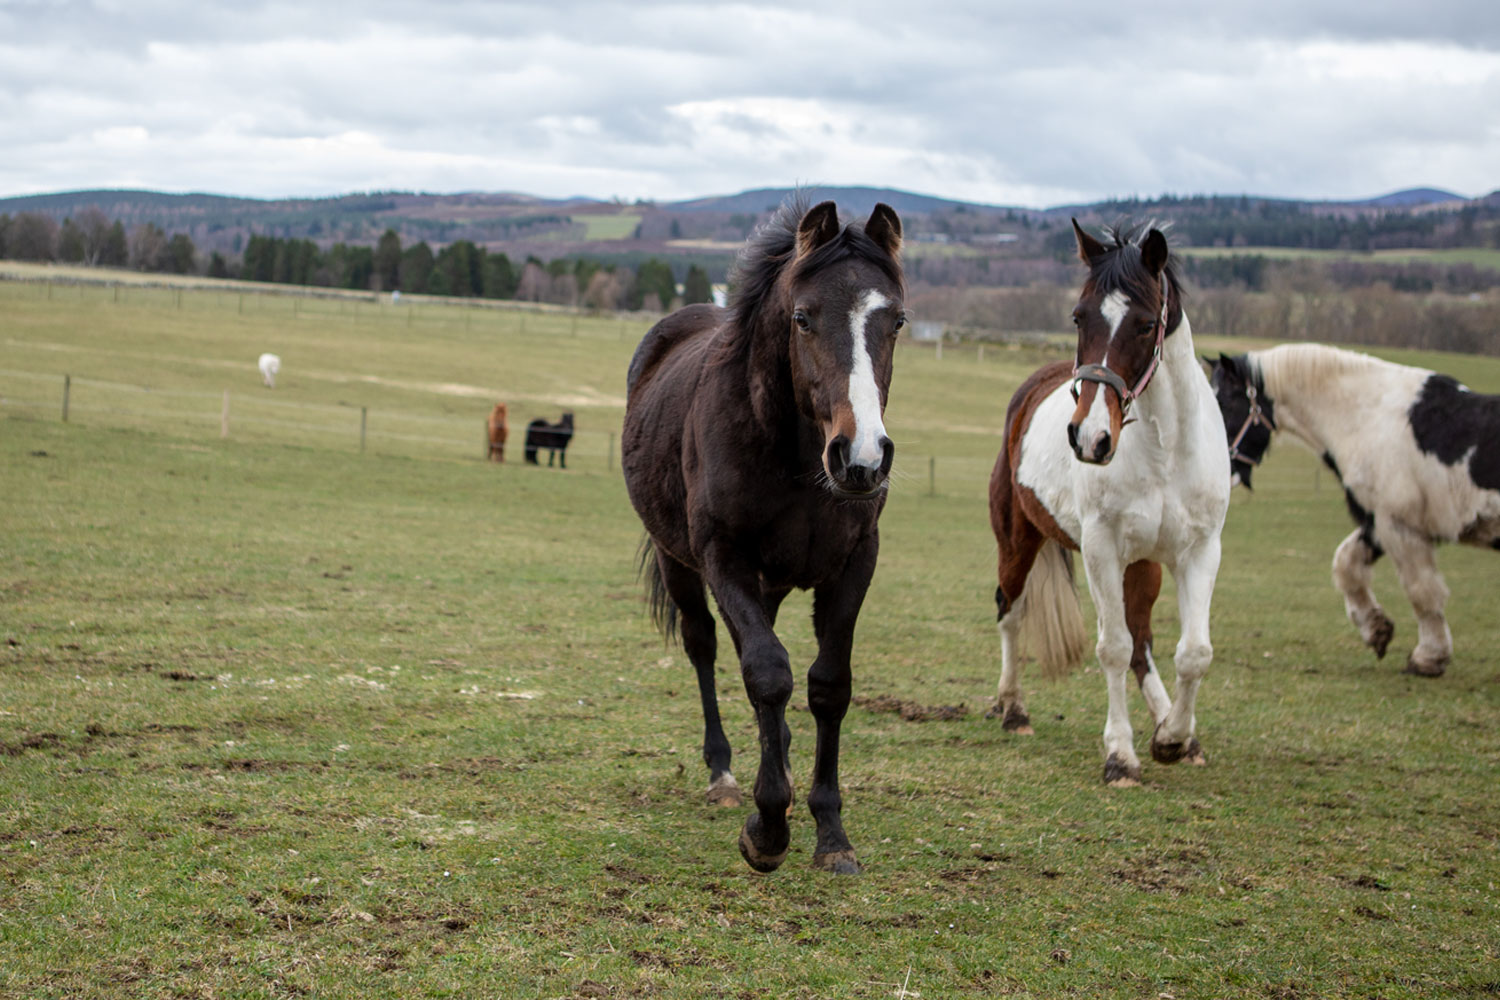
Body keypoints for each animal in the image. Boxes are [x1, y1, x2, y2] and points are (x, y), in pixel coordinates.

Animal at [621, 199, 900, 869]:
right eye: (802, 318)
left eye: (898, 321)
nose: (862, 458)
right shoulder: (724, 558)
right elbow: (768, 672)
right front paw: (767, 828)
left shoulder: (856, 563)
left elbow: (828, 685)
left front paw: (831, 832)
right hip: (679, 563)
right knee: (704, 647)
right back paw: (723, 775)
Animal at [984, 220, 1230, 791]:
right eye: (1079, 316)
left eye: (1145, 324)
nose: (1089, 437)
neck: (1165, 450)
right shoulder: (1101, 549)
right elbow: (1112, 648)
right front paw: (1121, 755)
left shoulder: (1199, 552)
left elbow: (1193, 652)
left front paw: (1174, 737)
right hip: (1019, 542)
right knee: (1011, 611)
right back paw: (1013, 708)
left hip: (1144, 566)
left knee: (1144, 643)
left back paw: (1167, 722)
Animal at [1206, 344, 1500, 680]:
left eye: (1224, 403)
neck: (1370, 419)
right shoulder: (1379, 524)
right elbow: (1346, 565)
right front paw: (1375, 629)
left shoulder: (1399, 526)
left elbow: (1422, 592)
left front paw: (1428, 657)